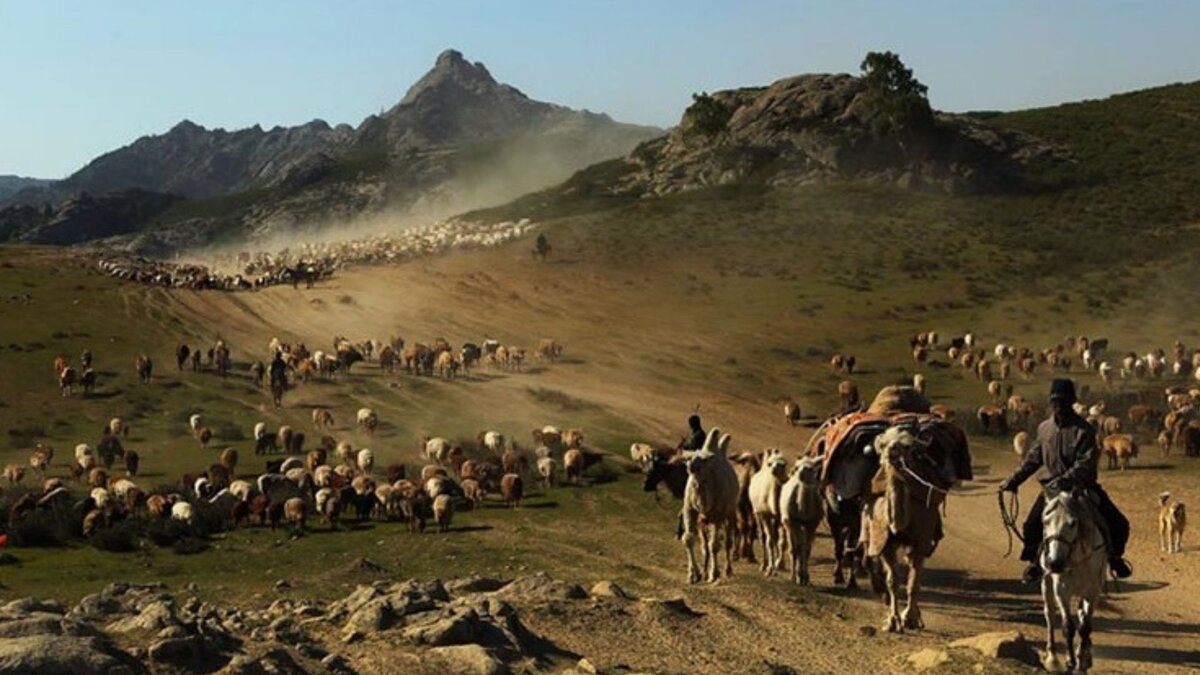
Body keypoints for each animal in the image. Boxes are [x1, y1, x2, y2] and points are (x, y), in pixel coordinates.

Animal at [686, 427, 739, 581]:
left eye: (703, 460)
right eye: (691, 455)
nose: (690, 465)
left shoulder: (717, 516)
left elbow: (714, 545)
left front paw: (714, 574)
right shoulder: (690, 510)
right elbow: (689, 539)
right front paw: (693, 574)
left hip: (730, 513)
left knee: (727, 542)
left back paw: (727, 570)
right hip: (702, 521)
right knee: (705, 545)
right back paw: (704, 570)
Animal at [1041, 487, 1104, 672]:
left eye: (1073, 523)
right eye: (1045, 522)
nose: (1054, 563)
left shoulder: (1093, 591)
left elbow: (1085, 627)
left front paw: (1083, 659)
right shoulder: (1061, 591)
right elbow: (1068, 626)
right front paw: (1070, 661)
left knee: (1082, 616)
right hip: (1046, 583)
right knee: (1049, 614)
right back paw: (1052, 656)